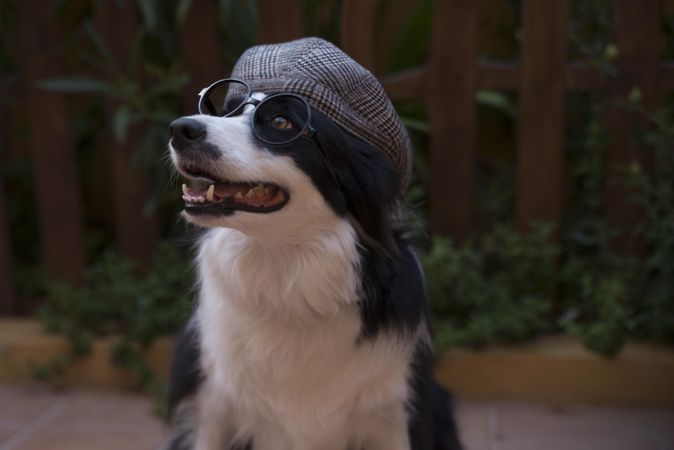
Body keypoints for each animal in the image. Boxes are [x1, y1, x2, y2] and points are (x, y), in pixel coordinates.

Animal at [161, 37, 462, 448]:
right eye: (225, 110)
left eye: (280, 122)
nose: (181, 128)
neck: (287, 279)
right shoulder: (210, 404)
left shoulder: (397, 412)